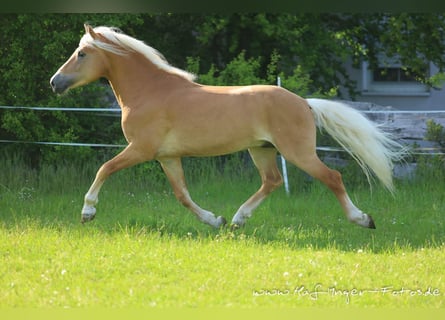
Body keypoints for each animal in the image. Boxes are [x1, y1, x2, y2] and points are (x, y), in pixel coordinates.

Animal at [50, 25, 404, 230]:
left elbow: (104, 169)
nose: (55, 82)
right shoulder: (167, 157)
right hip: (261, 150)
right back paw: (236, 220)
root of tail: (304, 102)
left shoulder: (141, 149)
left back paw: (363, 219)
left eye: (81, 53)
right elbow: (182, 195)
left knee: (332, 177)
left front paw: (87, 212)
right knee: (272, 181)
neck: (150, 92)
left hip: (297, 152)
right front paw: (214, 220)